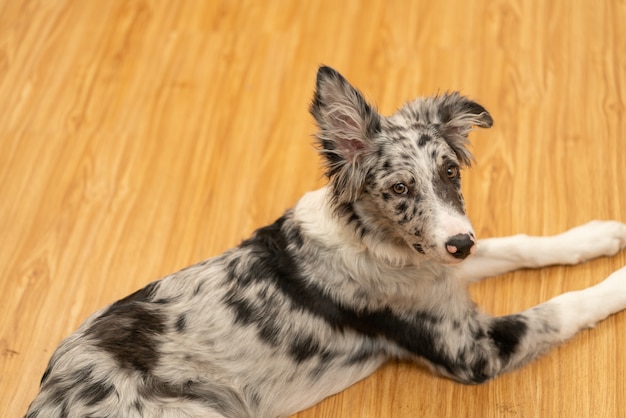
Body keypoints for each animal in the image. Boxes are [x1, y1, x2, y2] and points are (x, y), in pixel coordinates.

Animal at [25, 67, 624, 416]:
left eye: (450, 172)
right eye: (399, 187)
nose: (460, 244)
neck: (376, 242)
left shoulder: (442, 262)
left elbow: (519, 244)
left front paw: (599, 234)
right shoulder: (470, 349)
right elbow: (563, 306)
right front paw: (618, 282)